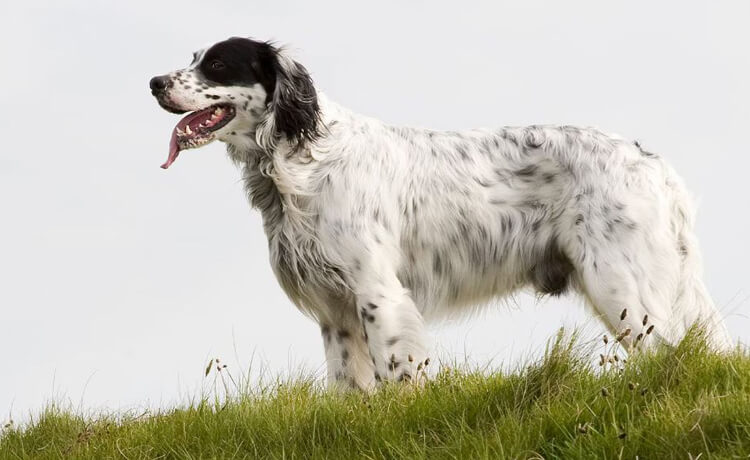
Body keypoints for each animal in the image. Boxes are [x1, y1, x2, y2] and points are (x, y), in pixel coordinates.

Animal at [150, 36, 732, 390]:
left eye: (217, 64)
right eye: (194, 58)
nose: (154, 83)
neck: (301, 162)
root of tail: (652, 163)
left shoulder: (378, 293)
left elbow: (397, 372)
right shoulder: (334, 314)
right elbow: (351, 386)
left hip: (621, 287)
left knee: (674, 355)